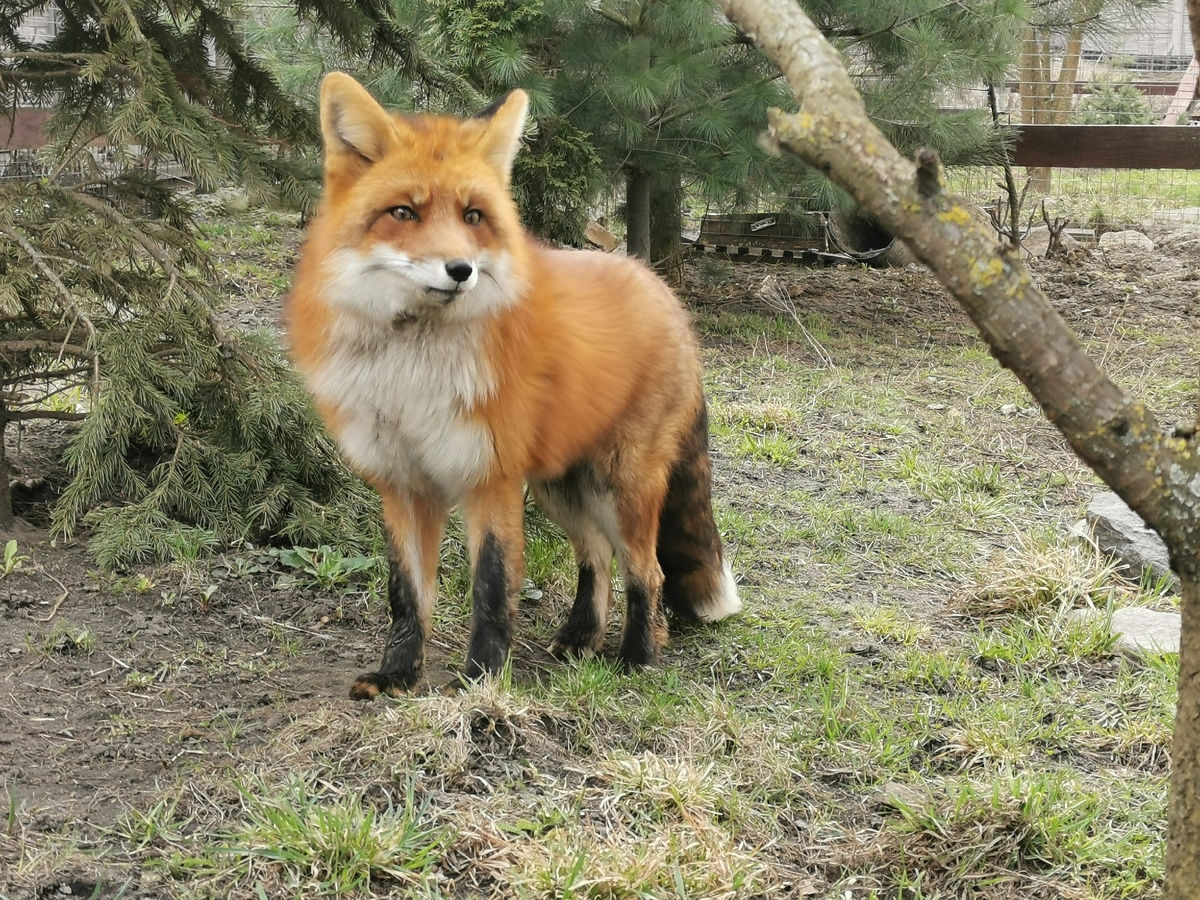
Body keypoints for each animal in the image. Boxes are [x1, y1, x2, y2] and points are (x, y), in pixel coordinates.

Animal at [287, 72, 741, 699]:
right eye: (403, 212)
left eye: (474, 216)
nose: (460, 270)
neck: (412, 374)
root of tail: (658, 285)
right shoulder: (403, 483)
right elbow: (407, 595)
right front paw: (398, 674)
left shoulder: (491, 478)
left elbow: (492, 590)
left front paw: (481, 682)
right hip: (562, 487)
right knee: (597, 557)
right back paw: (581, 638)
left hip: (621, 483)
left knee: (645, 570)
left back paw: (637, 656)